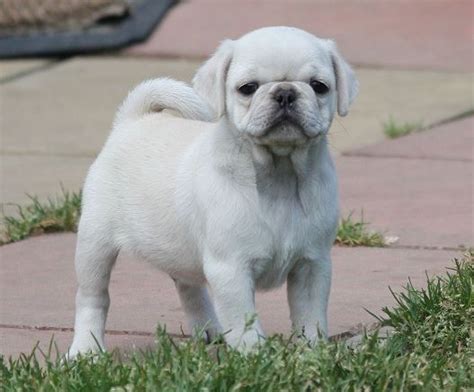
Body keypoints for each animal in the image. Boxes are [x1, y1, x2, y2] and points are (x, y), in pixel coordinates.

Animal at [68, 24, 358, 356]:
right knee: (93, 297)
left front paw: (312, 353)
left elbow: (310, 317)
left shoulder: (312, 264)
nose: (285, 92)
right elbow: (244, 324)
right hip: (95, 242)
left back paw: (208, 331)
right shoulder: (231, 270)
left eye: (319, 86)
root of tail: (132, 121)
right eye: (247, 88)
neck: (278, 175)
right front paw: (254, 357)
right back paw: (85, 350)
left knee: (188, 286)